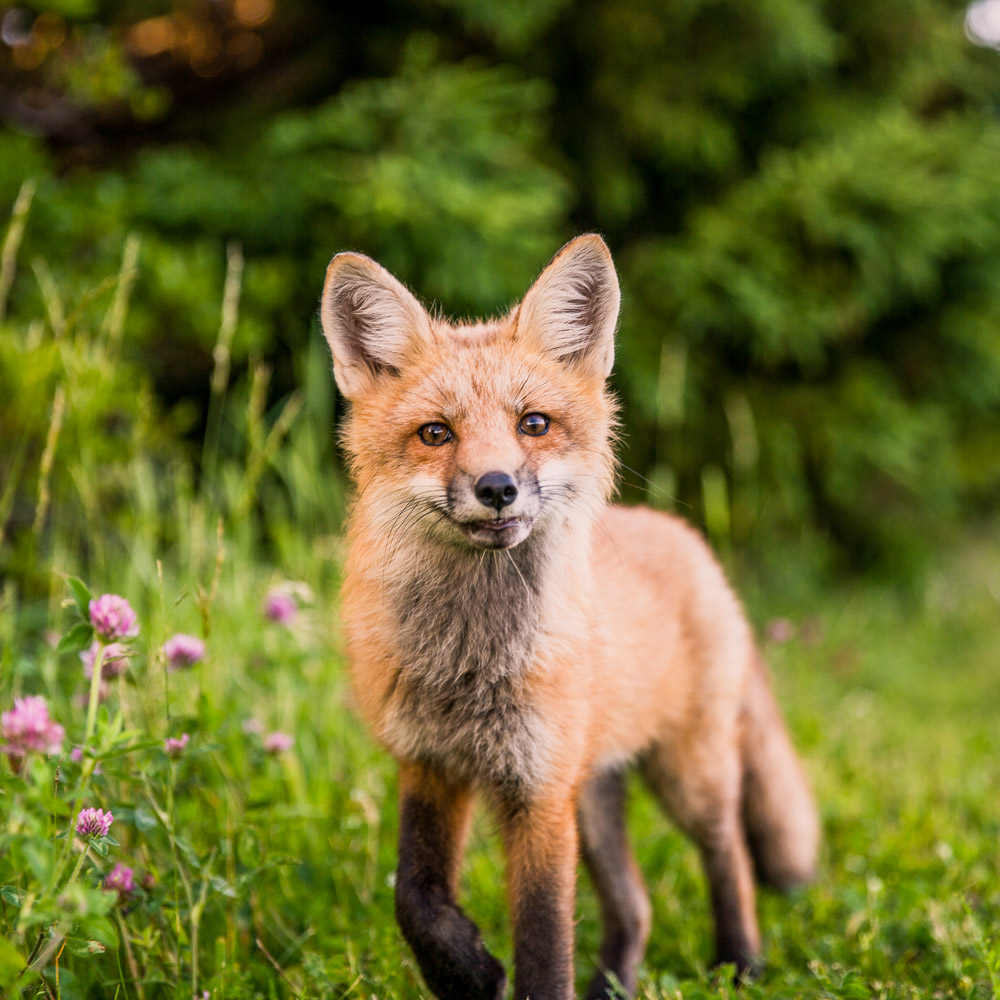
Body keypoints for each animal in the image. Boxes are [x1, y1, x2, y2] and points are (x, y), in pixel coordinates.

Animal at [320, 234, 820, 1000]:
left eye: (534, 424)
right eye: (436, 433)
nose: (497, 487)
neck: (472, 663)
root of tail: (688, 539)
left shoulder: (539, 791)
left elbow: (544, 940)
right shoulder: (430, 764)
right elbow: (415, 896)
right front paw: (466, 972)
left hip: (687, 775)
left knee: (729, 850)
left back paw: (740, 962)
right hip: (595, 794)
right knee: (637, 905)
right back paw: (615, 983)